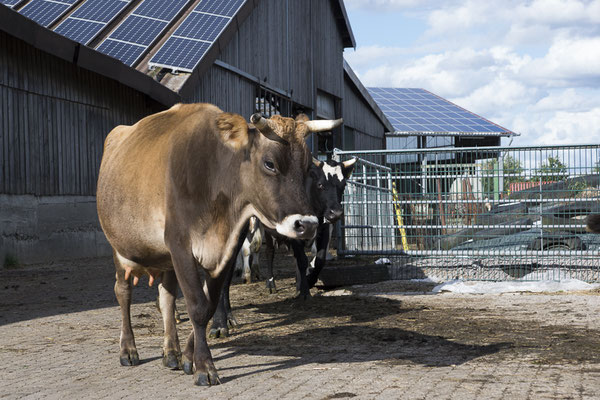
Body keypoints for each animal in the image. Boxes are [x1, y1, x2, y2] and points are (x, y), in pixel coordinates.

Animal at [98, 103, 342, 384]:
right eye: (269, 163)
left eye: (307, 169)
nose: (308, 225)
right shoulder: (180, 246)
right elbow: (196, 305)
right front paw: (205, 366)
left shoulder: (224, 250)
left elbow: (209, 304)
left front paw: (189, 357)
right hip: (119, 247)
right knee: (123, 293)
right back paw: (128, 349)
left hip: (165, 258)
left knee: (166, 297)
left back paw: (171, 351)